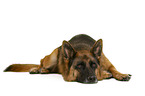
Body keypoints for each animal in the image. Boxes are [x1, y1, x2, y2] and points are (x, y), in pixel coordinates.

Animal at [3, 34, 131, 83]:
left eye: (93, 64)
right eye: (79, 65)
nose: (92, 78)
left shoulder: (106, 63)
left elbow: (113, 69)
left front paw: (121, 75)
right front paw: (104, 74)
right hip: (52, 56)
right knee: (41, 61)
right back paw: (38, 69)